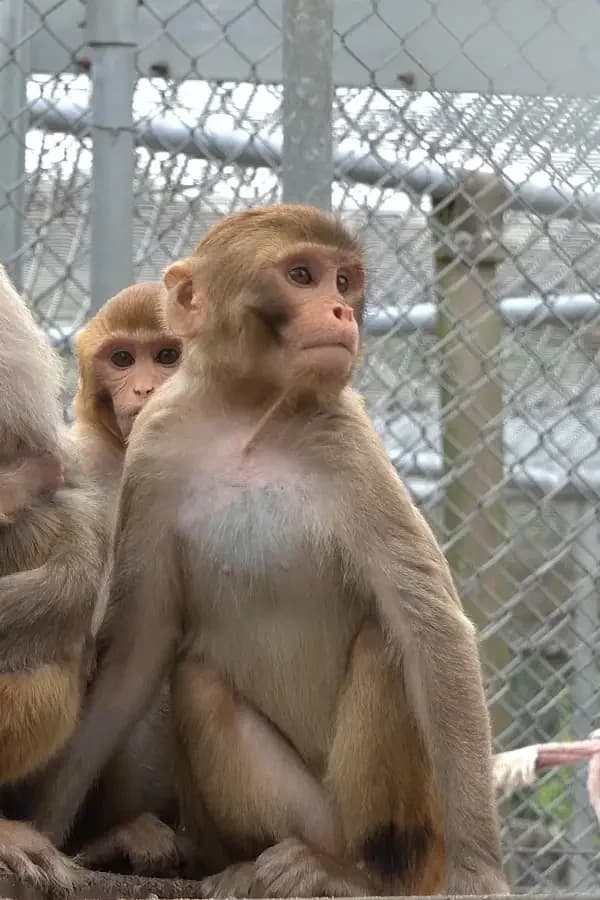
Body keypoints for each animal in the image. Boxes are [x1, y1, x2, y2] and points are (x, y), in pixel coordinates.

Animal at [34, 205, 508, 897]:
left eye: (344, 282)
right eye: (302, 275)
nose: (340, 311)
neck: (247, 422)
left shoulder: (350, 440)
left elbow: (429, 626)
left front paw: (480, 873)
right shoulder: (155, 451)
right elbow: (138, 646)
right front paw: (42, 831)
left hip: (415, 834)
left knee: (386, 642)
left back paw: (353, 874)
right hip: (301, 814)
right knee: (199, 685)